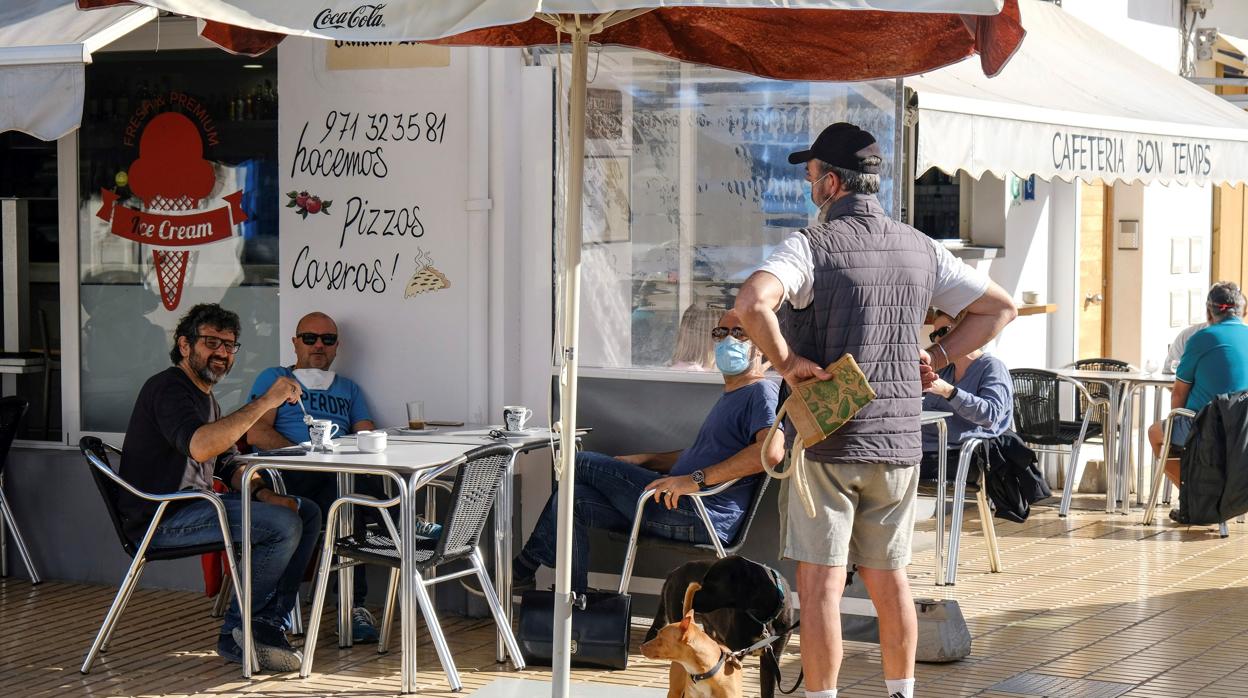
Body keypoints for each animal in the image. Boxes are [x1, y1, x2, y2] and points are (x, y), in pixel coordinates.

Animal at [648, 556, 793, 698]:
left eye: (711, 582)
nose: (684, 599)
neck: (763, 618)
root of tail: (673, 572)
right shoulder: (735, 652)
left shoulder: (772, 658)